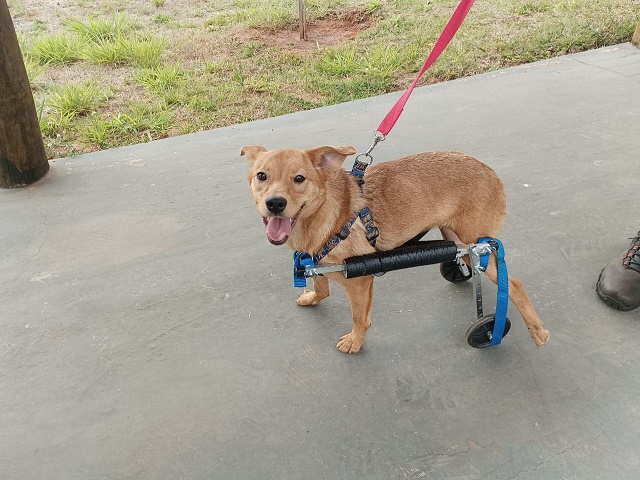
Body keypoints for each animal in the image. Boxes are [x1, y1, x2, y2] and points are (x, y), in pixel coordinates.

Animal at [240, 145, 552, 352]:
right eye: (262, 176)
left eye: (299, 179)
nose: (275, 203)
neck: (326, 214)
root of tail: (490, 172)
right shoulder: (319, 264)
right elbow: (321, 286)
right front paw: (314, 297)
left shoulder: (360, 282)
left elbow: (359, 318)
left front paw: (355, 341)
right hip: (455, 236)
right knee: (468, 259)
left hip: (478, 243)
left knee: (513, 284)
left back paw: (529, 330)